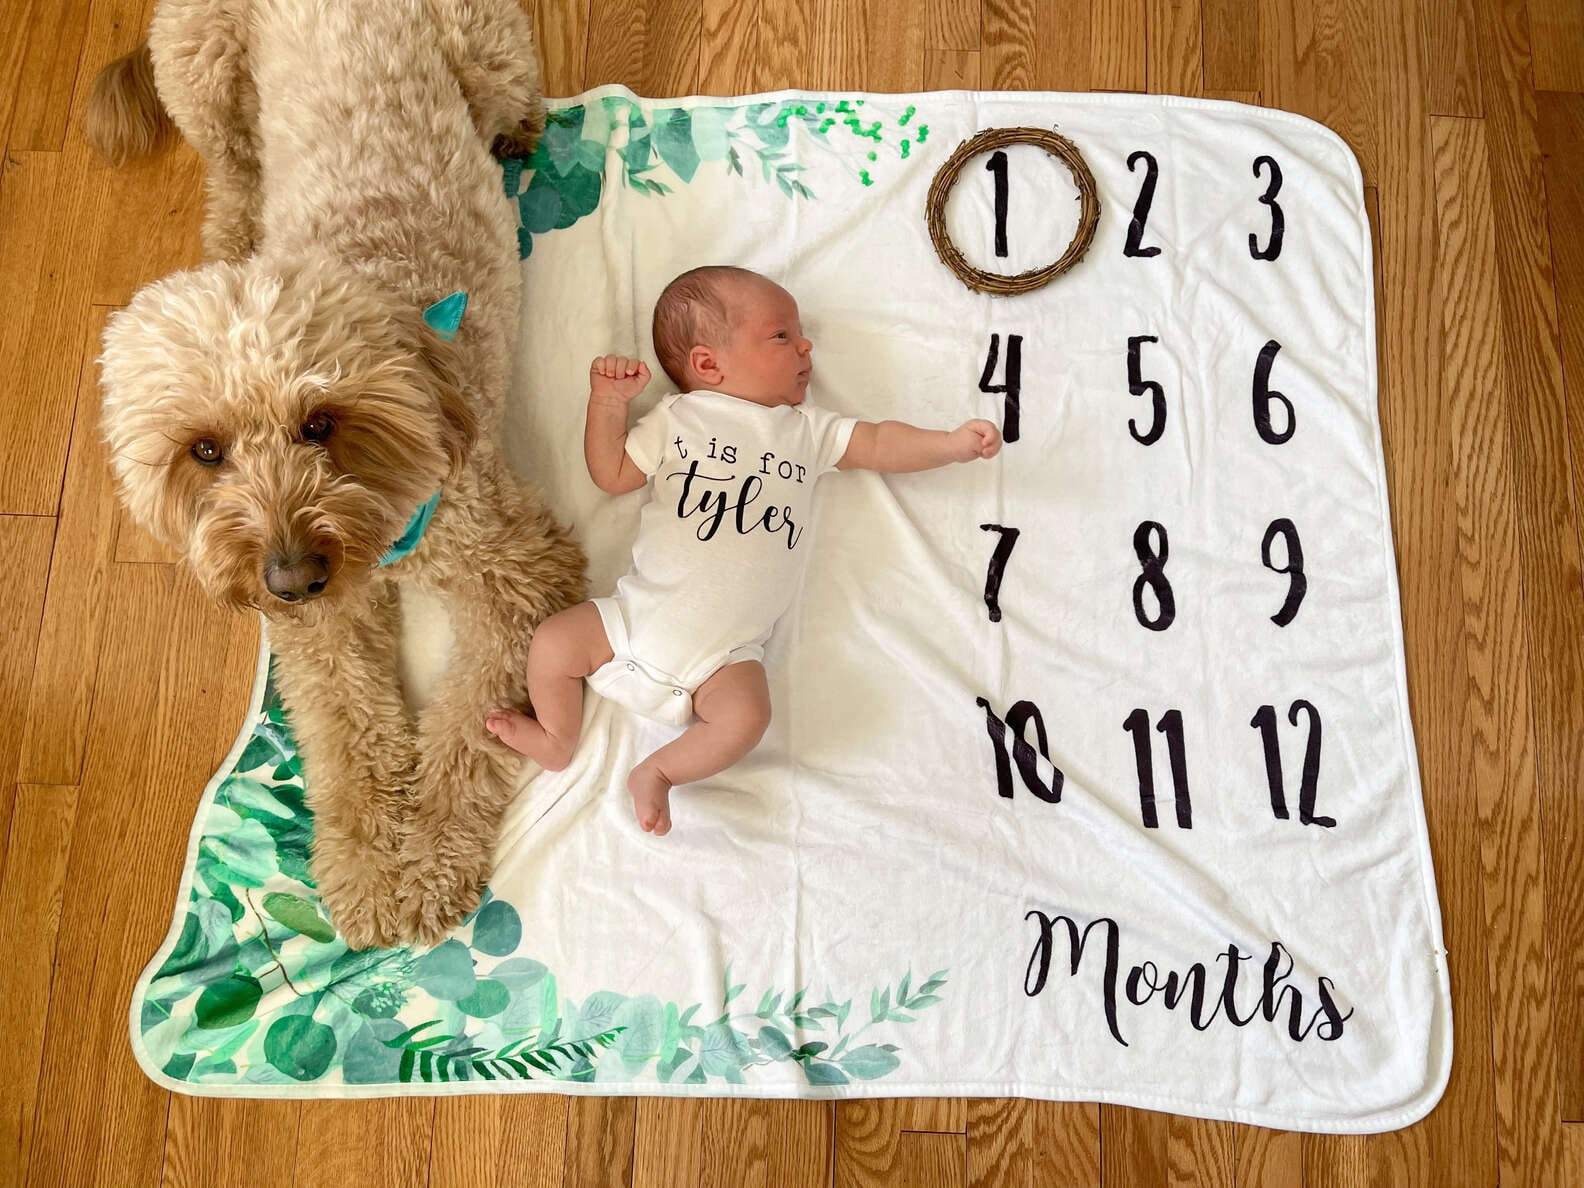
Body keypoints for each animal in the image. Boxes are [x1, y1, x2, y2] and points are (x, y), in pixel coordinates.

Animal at [88, 0, 582, 950]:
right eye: (205, 451)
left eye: (321, 424)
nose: (289, 579)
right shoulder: (325, 629)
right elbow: (346, 731)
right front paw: (366, 868)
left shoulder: (514, 571)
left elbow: (468, 728)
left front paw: (428, 860)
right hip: (197, 61)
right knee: (233, 164)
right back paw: (234, 232)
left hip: (488, 49)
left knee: (513, 94)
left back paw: (518, 133)